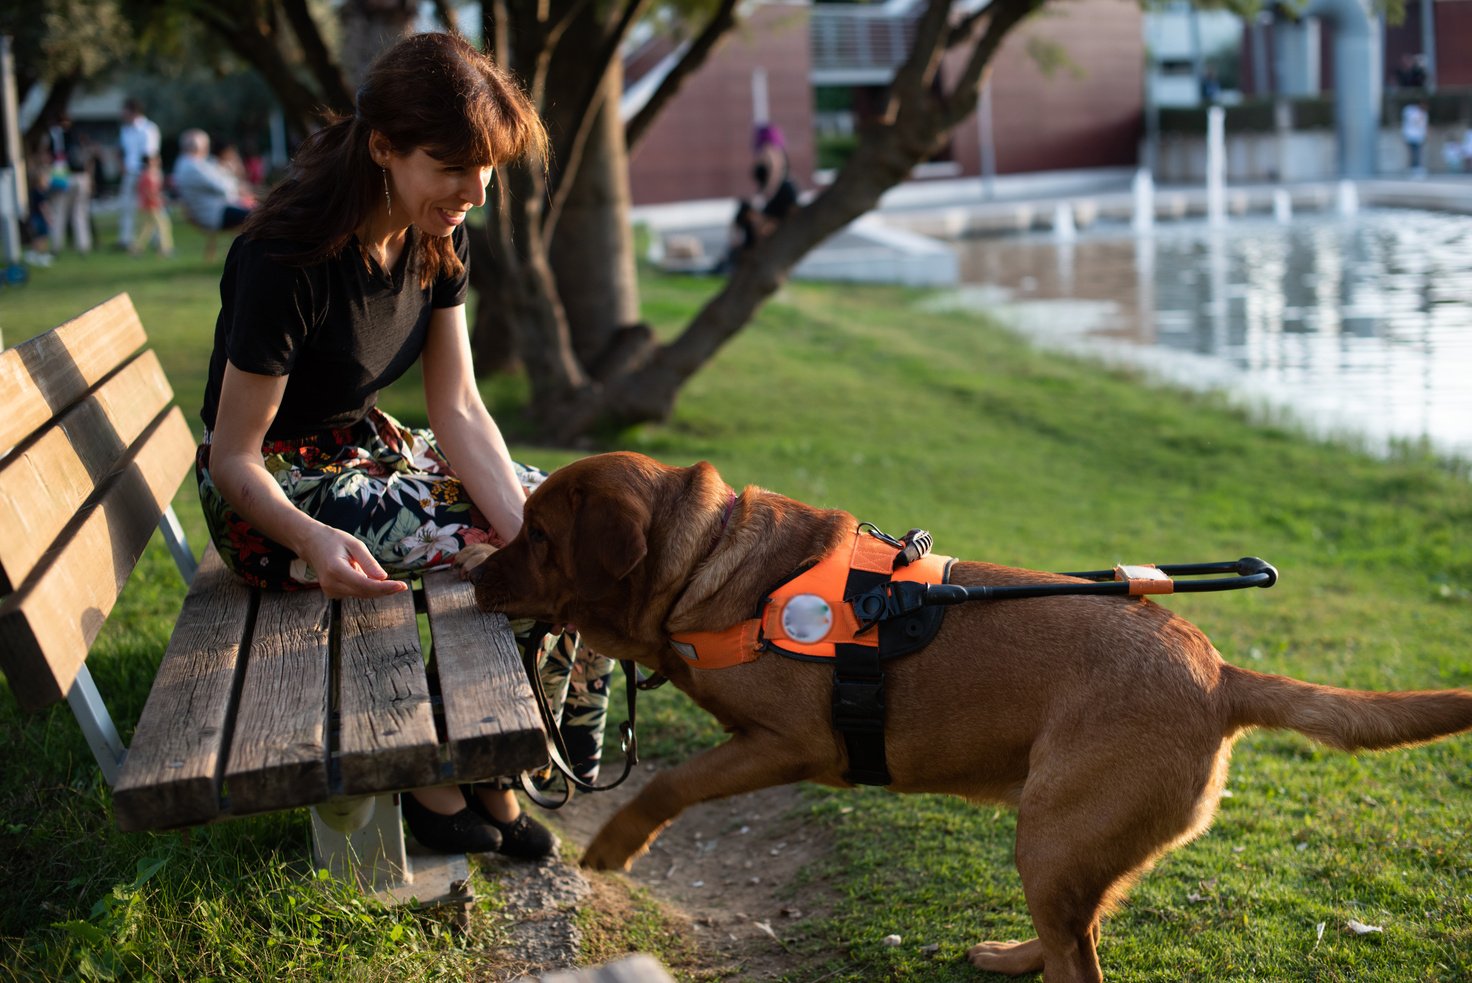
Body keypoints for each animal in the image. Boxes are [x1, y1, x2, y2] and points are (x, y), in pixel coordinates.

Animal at [456, 453, 1472, 983]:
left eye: (539, 536)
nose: (470, 568)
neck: (709, 564)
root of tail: (1220, 672)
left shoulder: (791, 743)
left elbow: (671, 780)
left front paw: (613, 843)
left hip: (1054, 832)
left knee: (1081, 958)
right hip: (1059, 839)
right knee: (1079, 928)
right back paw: (1017, 952)